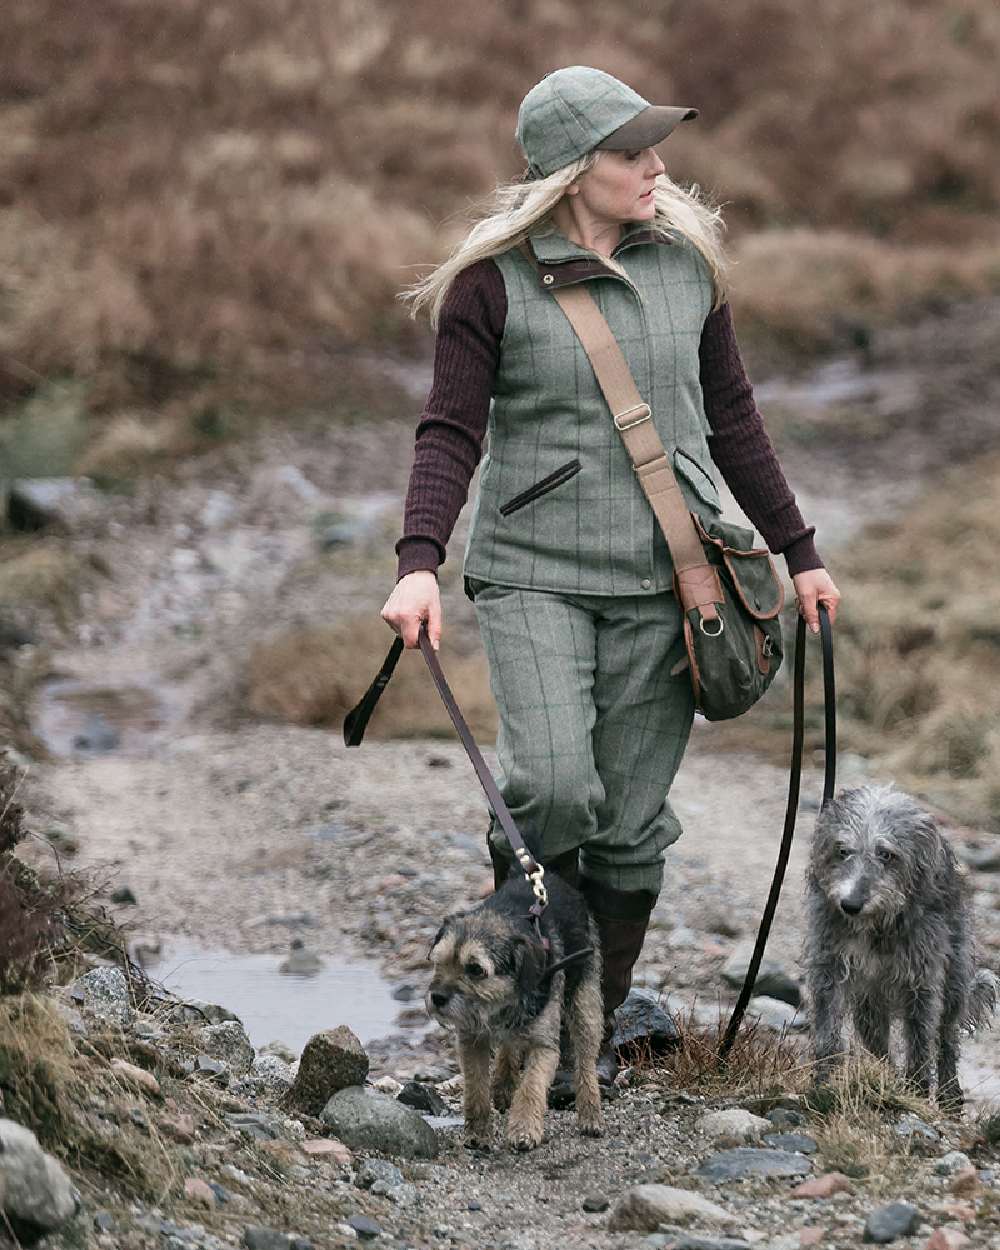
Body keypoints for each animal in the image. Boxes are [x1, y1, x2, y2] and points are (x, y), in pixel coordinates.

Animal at [425, 870, 602, 1150]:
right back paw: (503, 1086)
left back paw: (590, 1114)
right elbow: (476, 1088)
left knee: (585, 1060)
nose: (437, 997)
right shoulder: (471, 1040)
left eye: (475, 969)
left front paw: (524, 1130)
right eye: (439, 961)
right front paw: (478, 1133)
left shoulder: (544, 1046)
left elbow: (531, 1086)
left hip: (585, 1002)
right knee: (509, 1046)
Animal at [805, 785, 1000, 1100]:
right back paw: (886, 1076)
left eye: (886, 854)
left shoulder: (920, 980)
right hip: (869, 1007)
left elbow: (920, 1039)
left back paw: (948, 1094)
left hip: (955, 980)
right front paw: (823, 1082)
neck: (875, 925)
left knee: (946, 1036)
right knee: (879, 1044)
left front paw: (917, 1091)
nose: (850, 904)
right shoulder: (828, 967)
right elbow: (827, 1028)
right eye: (843, 851)